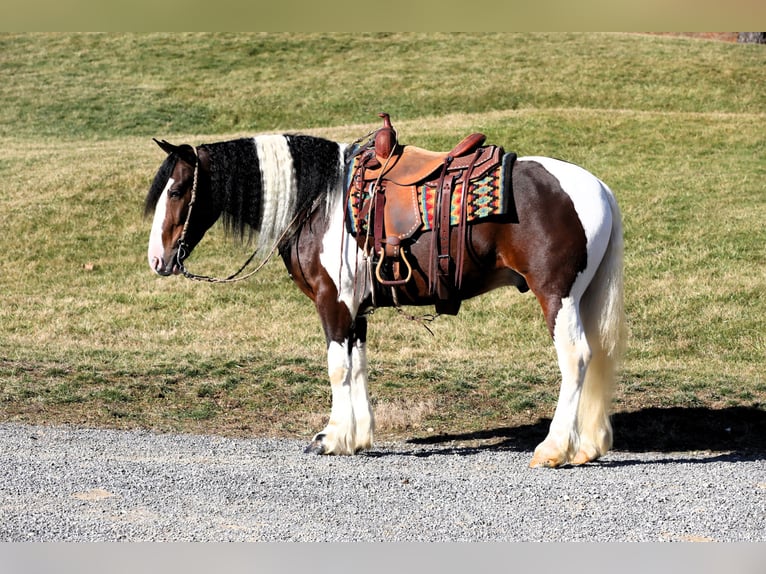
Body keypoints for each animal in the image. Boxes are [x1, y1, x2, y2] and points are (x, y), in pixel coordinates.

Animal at [144, 122, 624, 468]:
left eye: (178, 190)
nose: (156, 259)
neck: (322, 202)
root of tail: (599, 188)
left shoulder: (333, 302)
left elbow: (338, 367)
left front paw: (331, 438)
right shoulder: (356, 309)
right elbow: (358, 366)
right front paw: (355, 438)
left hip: (557, 295)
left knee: (576, 358)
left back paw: (554, 449)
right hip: (582, 297)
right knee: (596, 355)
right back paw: (587, 446)